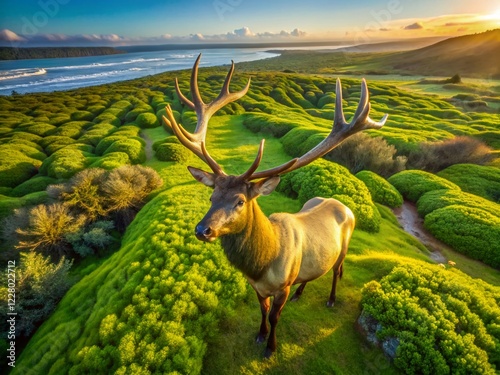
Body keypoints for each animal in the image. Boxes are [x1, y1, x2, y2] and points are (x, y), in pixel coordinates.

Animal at [164, 55, 386, 358]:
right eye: (212, 196)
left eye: (240, 201)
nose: (202, 230)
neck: (262, 265)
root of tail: (343, 204)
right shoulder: (257, 287)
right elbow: (262, 310)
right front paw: (259, 335)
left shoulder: (282, 285)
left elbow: (275, 316)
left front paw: (271, 346)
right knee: (314, 271)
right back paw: (301, 293)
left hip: (345, 247)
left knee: (336, 271)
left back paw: (330, 299)